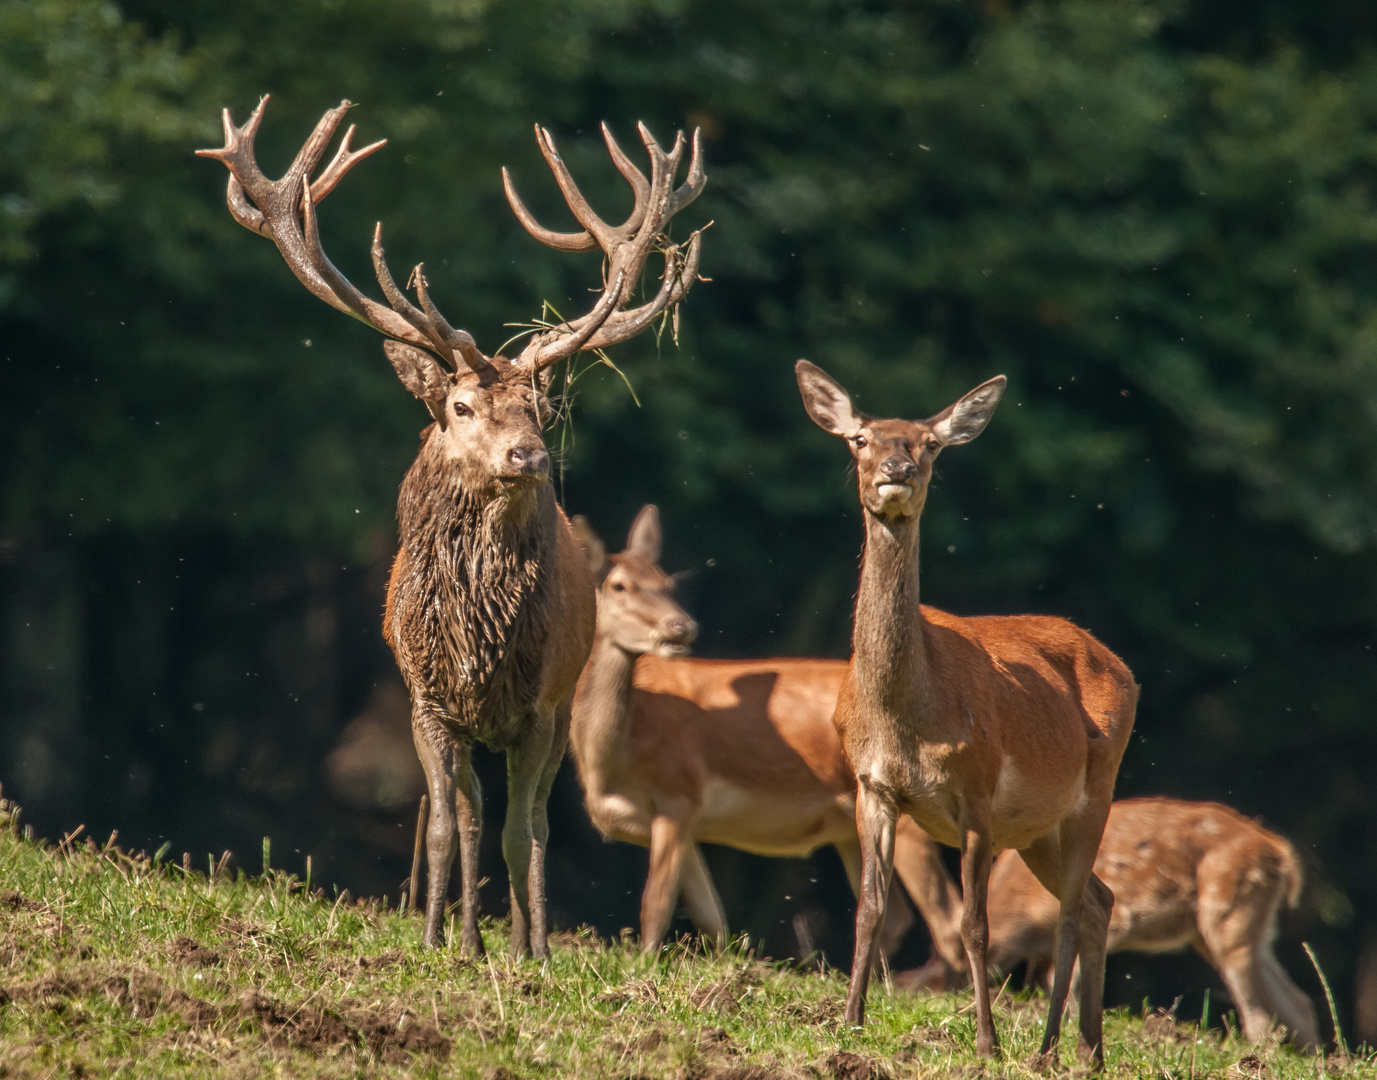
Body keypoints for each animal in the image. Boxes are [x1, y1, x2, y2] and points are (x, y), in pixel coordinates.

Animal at [199, 101, 705, 958]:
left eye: (540, 407)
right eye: (461, 406)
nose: (528, 454)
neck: (478, 639)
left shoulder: (539, 709)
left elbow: (520, 832)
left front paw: (527, 951)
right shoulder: (426, 702)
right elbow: (445, 825)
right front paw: (440, 938)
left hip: (560, 709)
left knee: (530, 823)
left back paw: (526, 939)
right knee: (467, 814)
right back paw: (468, 933)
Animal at [561, 506, 969, 969]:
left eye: (667, 583)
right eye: (619, 585)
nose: (681, 626)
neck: (613, 760)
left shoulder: (679, 792)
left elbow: (655, 904)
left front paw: (646, 967)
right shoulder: (678, 820)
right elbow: (712, 918)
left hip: (912, 808)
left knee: (947, 919)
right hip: (850, 827)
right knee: (893, 915)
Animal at [798, 358, 1140, 1068]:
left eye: (929, 445)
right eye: (860, 438)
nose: (896, 469)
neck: (905, 720)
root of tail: (1123, 666)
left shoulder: (977, 791)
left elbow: (973, 925)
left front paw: (985, 1041)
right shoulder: (871, 786)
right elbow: (868, 910)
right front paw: (849, 1023)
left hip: (1097, 785)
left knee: (1072, 909)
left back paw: (1047, 1047)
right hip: (1038, 828)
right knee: (1099, 899)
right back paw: (1089, 1050)